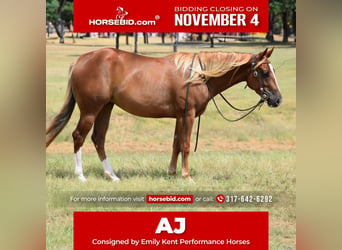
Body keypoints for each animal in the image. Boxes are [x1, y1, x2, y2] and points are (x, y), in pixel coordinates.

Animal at [44, 47, 280, 183]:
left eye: (272, 71)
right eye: (264, 72)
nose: (277, 99)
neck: (199, 75)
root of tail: (80, 60)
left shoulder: (179, 116)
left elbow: (175, 144)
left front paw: (172, 173)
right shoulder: (188, 114)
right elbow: (185, 144)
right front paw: (186, 176)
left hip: (106, 108)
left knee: (98, 138)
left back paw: (112, 175)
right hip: (91, 110)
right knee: (79, 136)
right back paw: (81, 176)